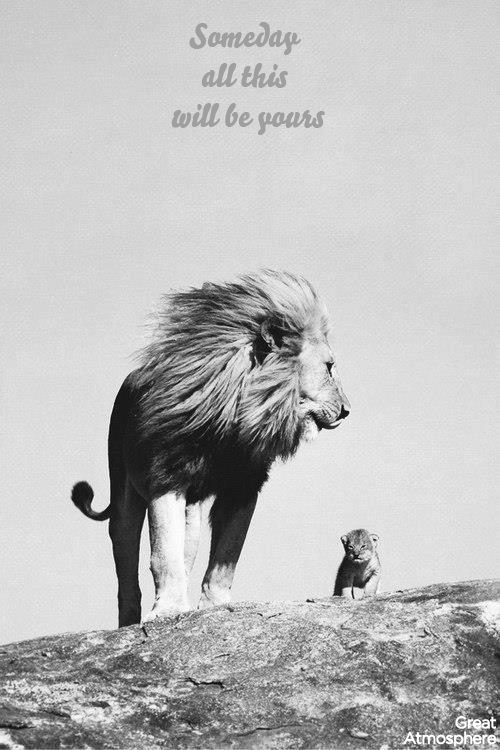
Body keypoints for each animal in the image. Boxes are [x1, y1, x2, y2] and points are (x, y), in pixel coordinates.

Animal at [72, 270, 350, 626]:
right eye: (329, 367)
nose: (346, 410)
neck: (233, 417)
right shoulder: (166, 478)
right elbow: (163, 555)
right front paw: (168, 611)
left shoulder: (243, 487)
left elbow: (226, 557)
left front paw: (214, 606)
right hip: (124, 494)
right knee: (126, 564)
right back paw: (130, 621)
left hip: (191, 513)